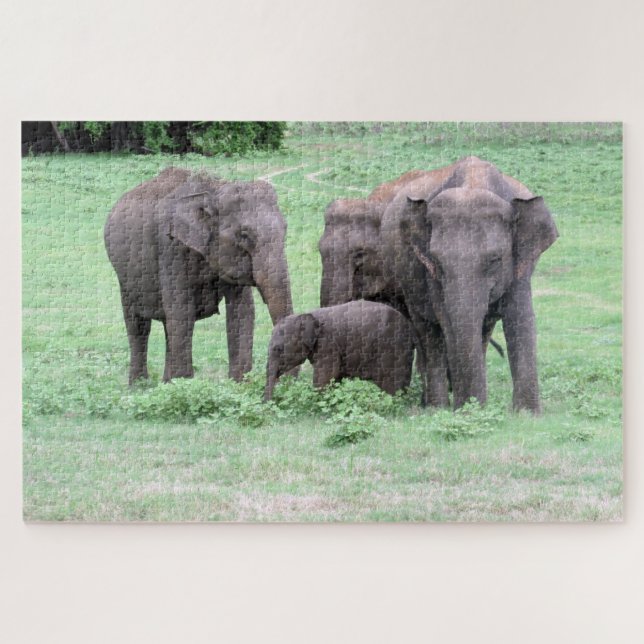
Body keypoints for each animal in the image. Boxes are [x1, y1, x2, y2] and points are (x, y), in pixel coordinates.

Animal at [105, 167, 294, 384]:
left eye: (285, 229)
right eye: (244, 235)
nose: (286, 382)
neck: (214, 189)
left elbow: (242, 311)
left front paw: (238, 384)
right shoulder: (171, 248)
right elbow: (182, 311)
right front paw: (185, 386)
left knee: (167, 325)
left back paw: (165, 383)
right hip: (125, 276)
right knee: (139, 326)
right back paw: (139, 387)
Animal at [263, 300, 416, 401]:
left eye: (278, 349)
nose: (270, 402)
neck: (306, 315)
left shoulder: (327, 344)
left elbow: (325, 375)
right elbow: (335, 377)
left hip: (393, 349)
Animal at [380, 156, 558, 413]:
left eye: (495, 260)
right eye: (437, 260)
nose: (471, 406)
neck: (474, 182)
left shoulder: (521, 262)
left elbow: (520, 316)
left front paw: (526, 414)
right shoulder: (429, 271)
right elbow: (445, 318)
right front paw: (469, 411)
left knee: (483, 328)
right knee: (428, 332)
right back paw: (436, 407)